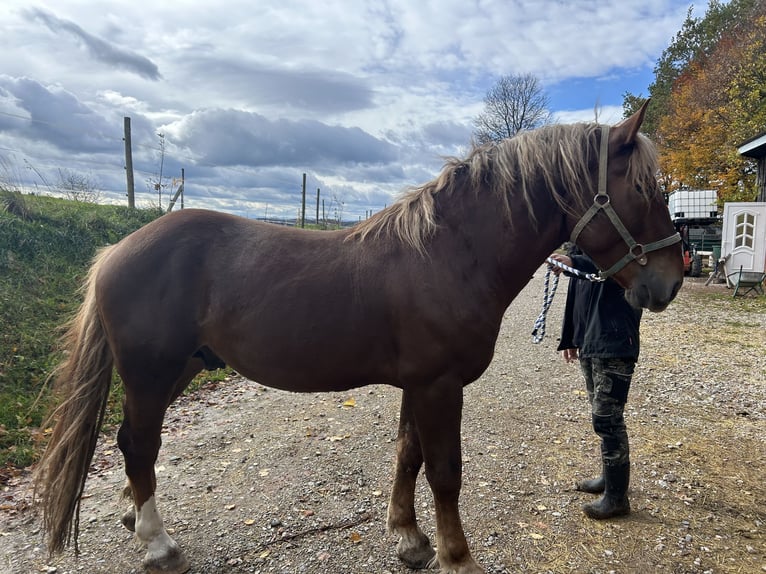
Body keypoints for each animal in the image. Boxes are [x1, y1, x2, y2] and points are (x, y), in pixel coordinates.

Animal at [34, 101, 683, 574]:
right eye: (645, 190)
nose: (671, 281)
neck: (448, 255)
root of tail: (116, 250)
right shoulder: (439, 386)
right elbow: (445, 470)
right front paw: (457, 557)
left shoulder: (419, 384)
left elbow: (408, 456)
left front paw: (410, 540)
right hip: (151, 373)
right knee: (140, 444)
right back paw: (159, 544)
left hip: (181, 369)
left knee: (130, 443)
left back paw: (133, 519)